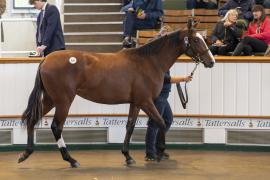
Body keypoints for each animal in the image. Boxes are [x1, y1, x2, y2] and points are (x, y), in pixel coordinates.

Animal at [17, 19, 214, 167]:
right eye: (196, 40)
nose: (211, 61)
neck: (149, 62)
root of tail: (46, 60)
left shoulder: (136, 102)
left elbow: (130, 126)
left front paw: (128, 156)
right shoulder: (146, 101)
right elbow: (160, 122)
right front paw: (159, 152)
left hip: (51, 99)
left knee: (32, 119)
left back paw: (26, 153)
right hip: (64, 101)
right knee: (56, 127)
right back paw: (71, 160)